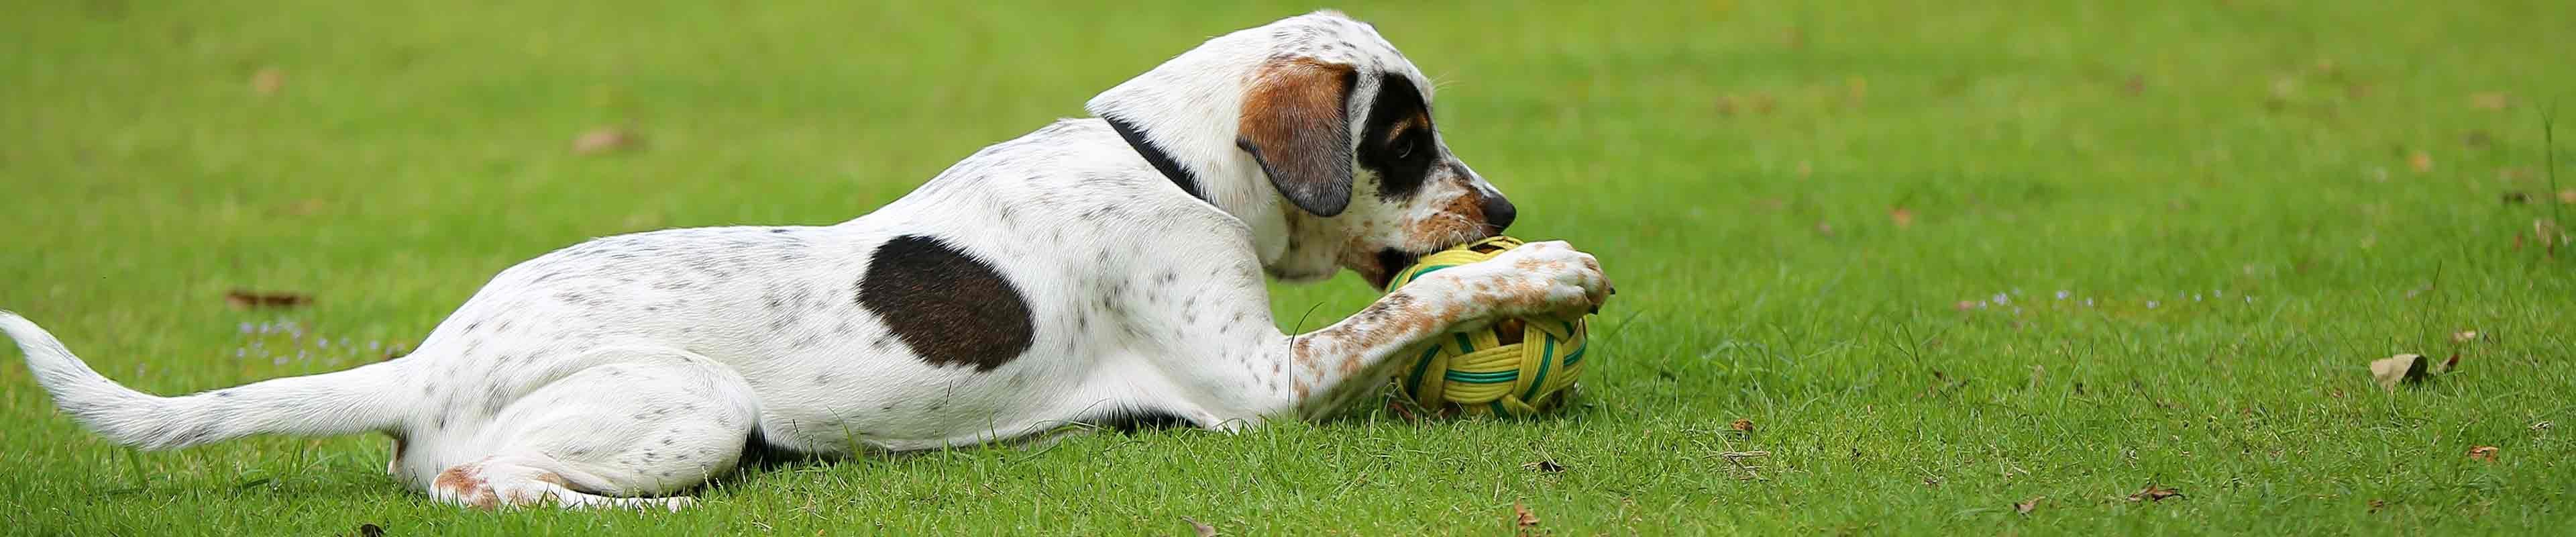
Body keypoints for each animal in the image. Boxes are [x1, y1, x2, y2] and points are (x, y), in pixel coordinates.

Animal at [5, 10, 1607, 508]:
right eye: (1406, 140)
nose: (1504, 196)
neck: (1169, 156)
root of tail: (422, 360)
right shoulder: (1264, 384)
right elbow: (1418, 311)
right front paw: (1552, 267)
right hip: (696, 404)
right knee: (473, 485)